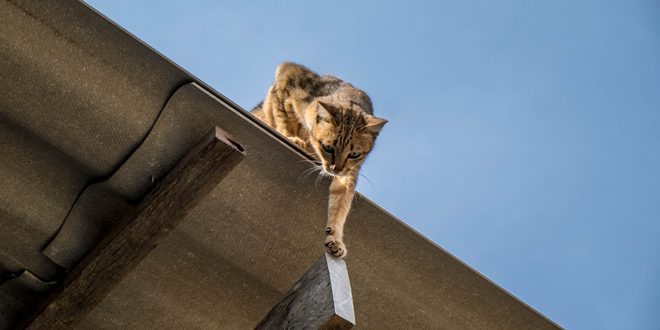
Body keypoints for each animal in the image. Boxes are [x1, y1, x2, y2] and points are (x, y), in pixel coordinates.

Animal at [251, 62, 386, 258]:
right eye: (328, 147)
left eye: (354, 154)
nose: (335, 169)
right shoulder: (287, 73)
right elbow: (284, 119)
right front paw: (293, 138)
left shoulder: (349, 174)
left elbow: (341, 205)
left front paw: (335, 239)